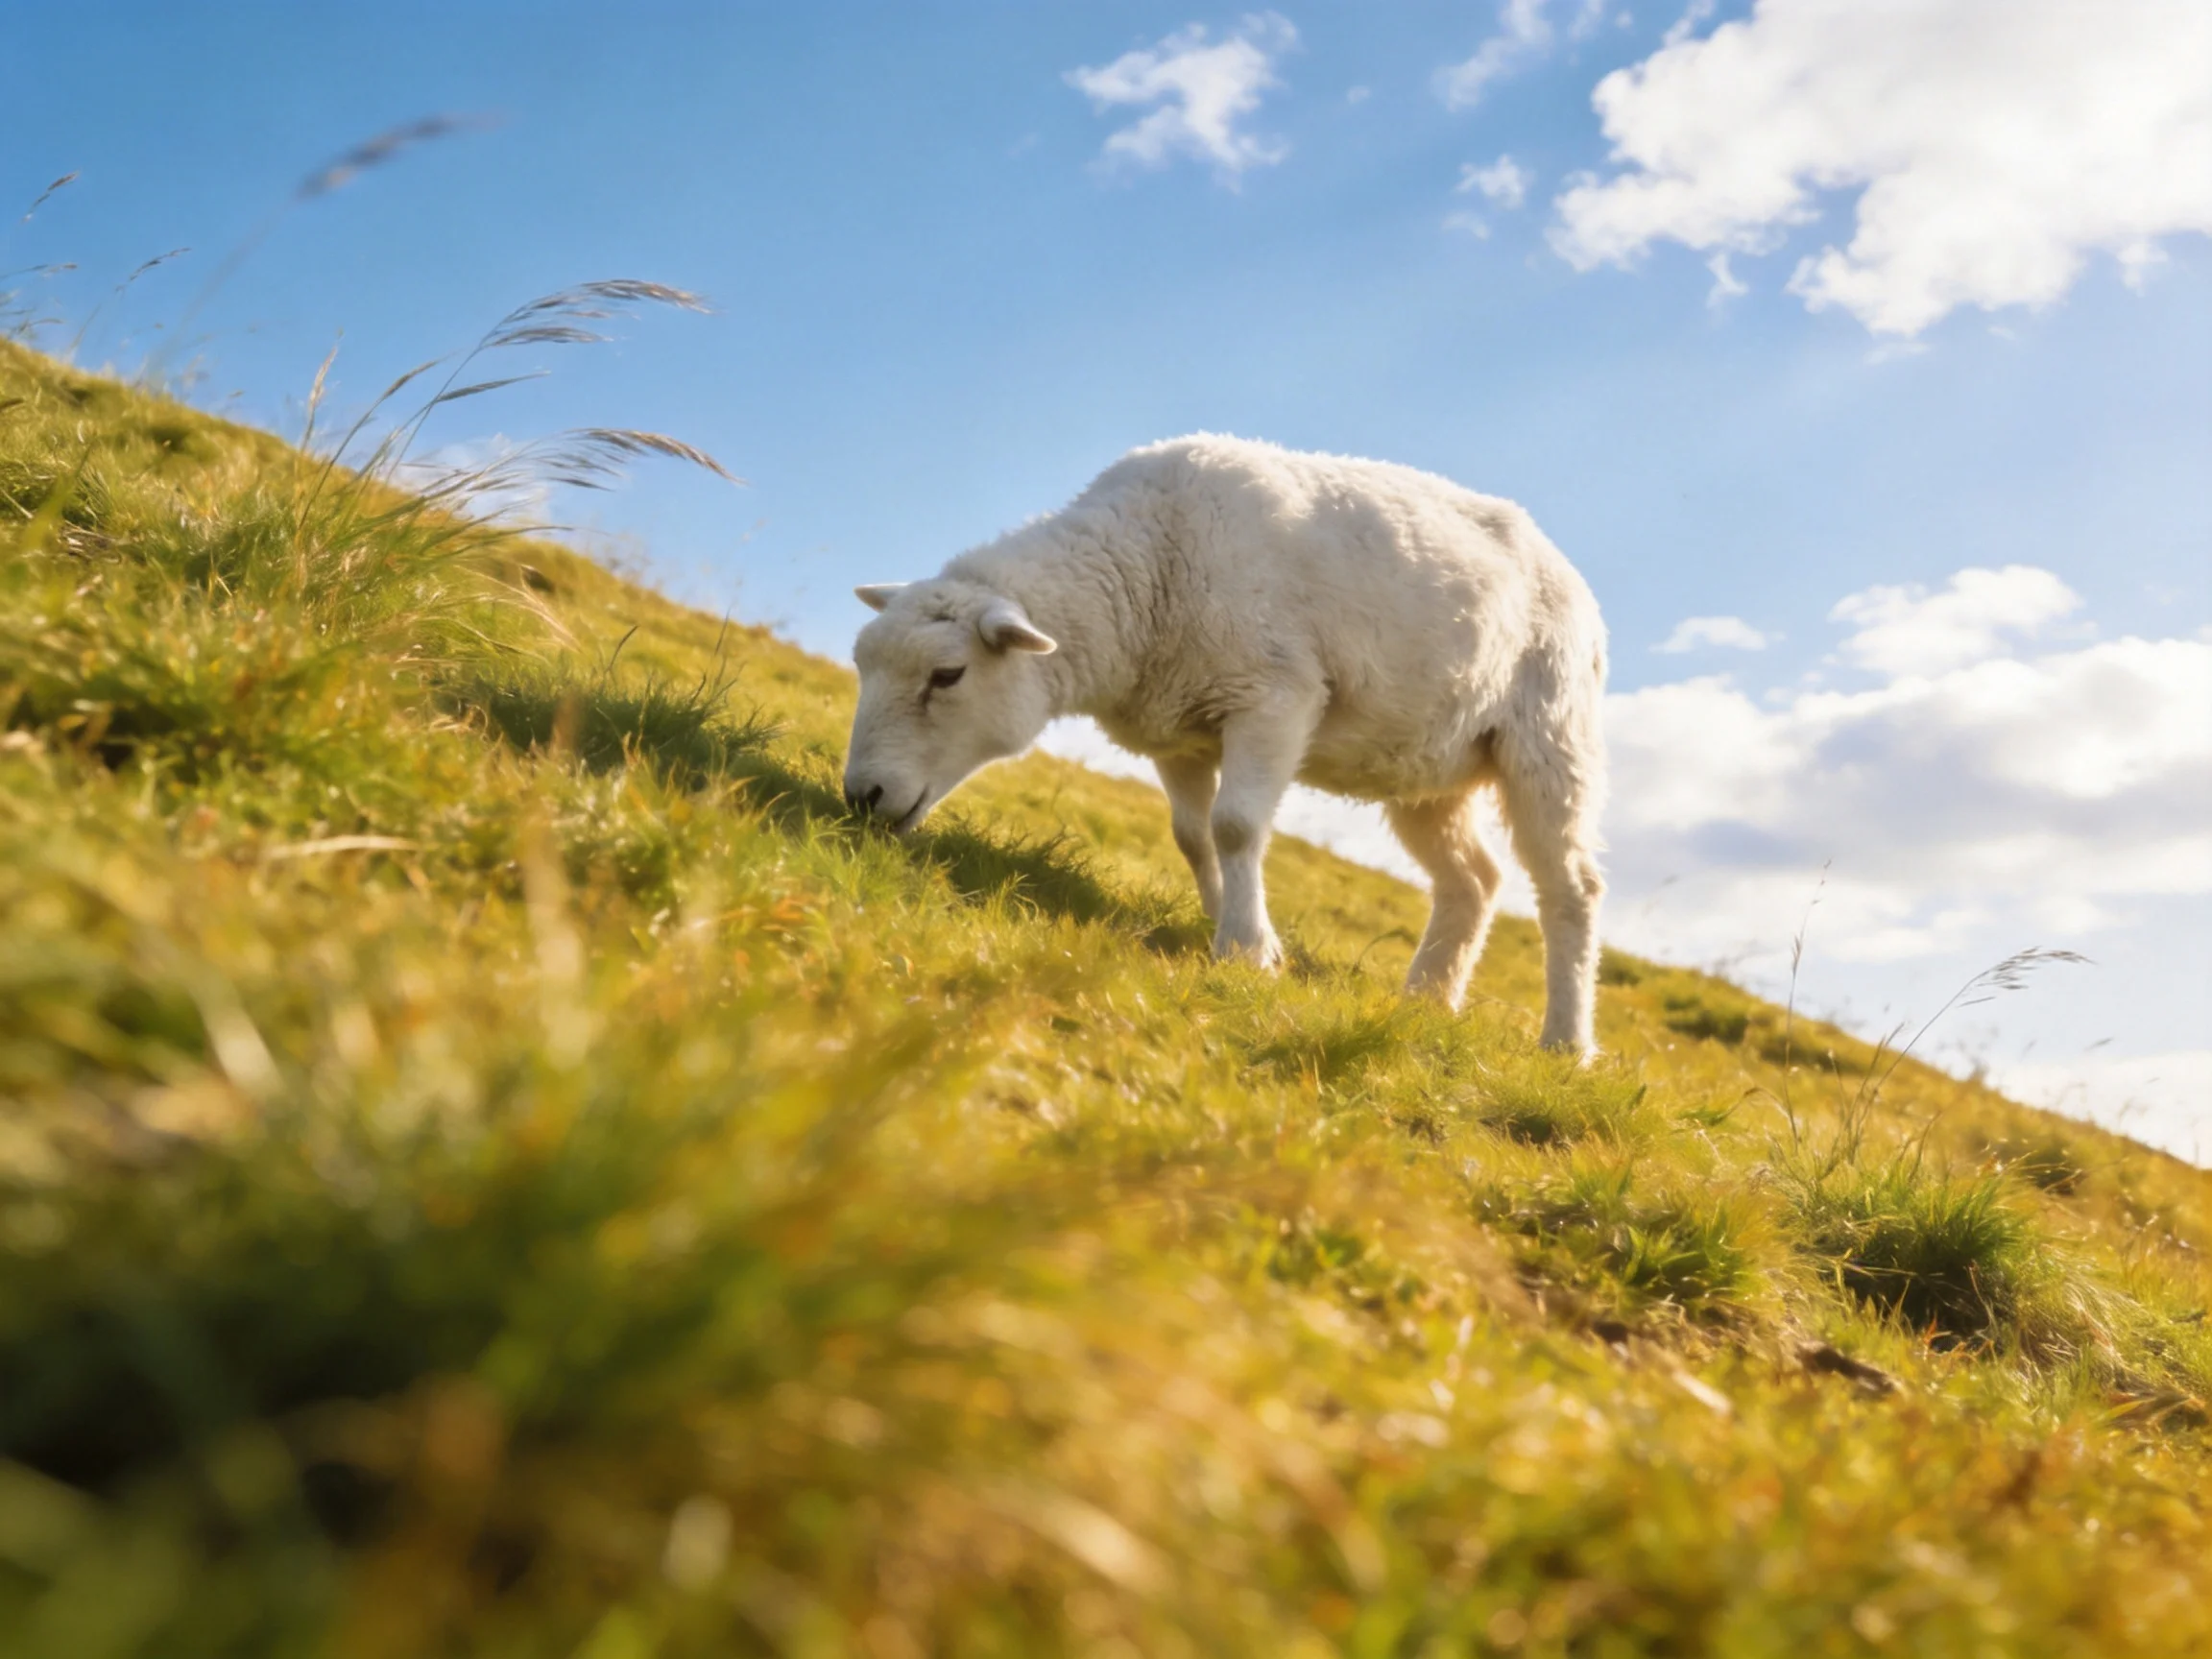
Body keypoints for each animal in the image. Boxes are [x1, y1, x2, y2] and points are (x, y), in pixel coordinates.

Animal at [843, 434, 1609, 1054]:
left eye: (947, 675)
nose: (862, 796)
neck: (1144, 565)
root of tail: (1573, 578)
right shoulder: (1177, 729)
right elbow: (1193, 835)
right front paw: (1226, 921)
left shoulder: (1273, 697)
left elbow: (1237, 826)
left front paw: (1247, 949)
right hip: (1427, 766)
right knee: (1472, 880)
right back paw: (1426, 1000)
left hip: (1549, 738)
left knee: (1571, 890)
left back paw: (1565, 1042)